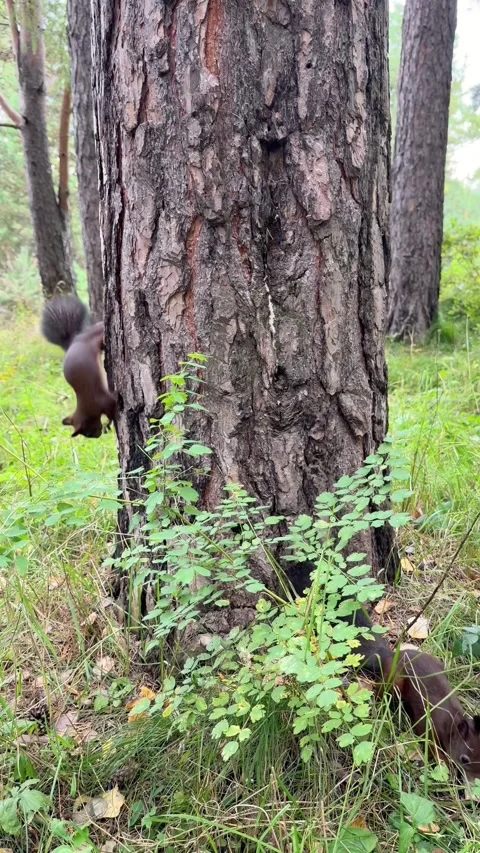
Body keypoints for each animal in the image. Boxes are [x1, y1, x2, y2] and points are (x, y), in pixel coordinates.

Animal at [41, 295, 116, 439]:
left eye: (87, 432)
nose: (97, 436)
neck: (84, 406)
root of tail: (75, 338)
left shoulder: (104, 401)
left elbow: (111, 410)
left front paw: (108, 424)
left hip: (95, 336)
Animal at [352, 606, 480, 783]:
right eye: (464, 759)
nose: (474, 782)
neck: (451, 722)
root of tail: (390, 656)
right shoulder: (428, 725)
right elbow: (430, 745)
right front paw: (445, 766)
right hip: (394, 681)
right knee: (381, 691)